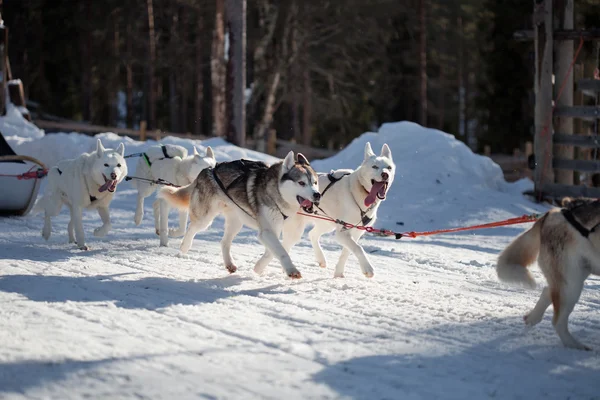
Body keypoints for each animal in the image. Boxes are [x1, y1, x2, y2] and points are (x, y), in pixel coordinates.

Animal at [494, 198, 600, 348]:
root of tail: (551, 214)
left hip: (576, 275)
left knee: (547, 292)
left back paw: (532, 318)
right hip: (571, 284)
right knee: (558, 322)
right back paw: (575, 347)